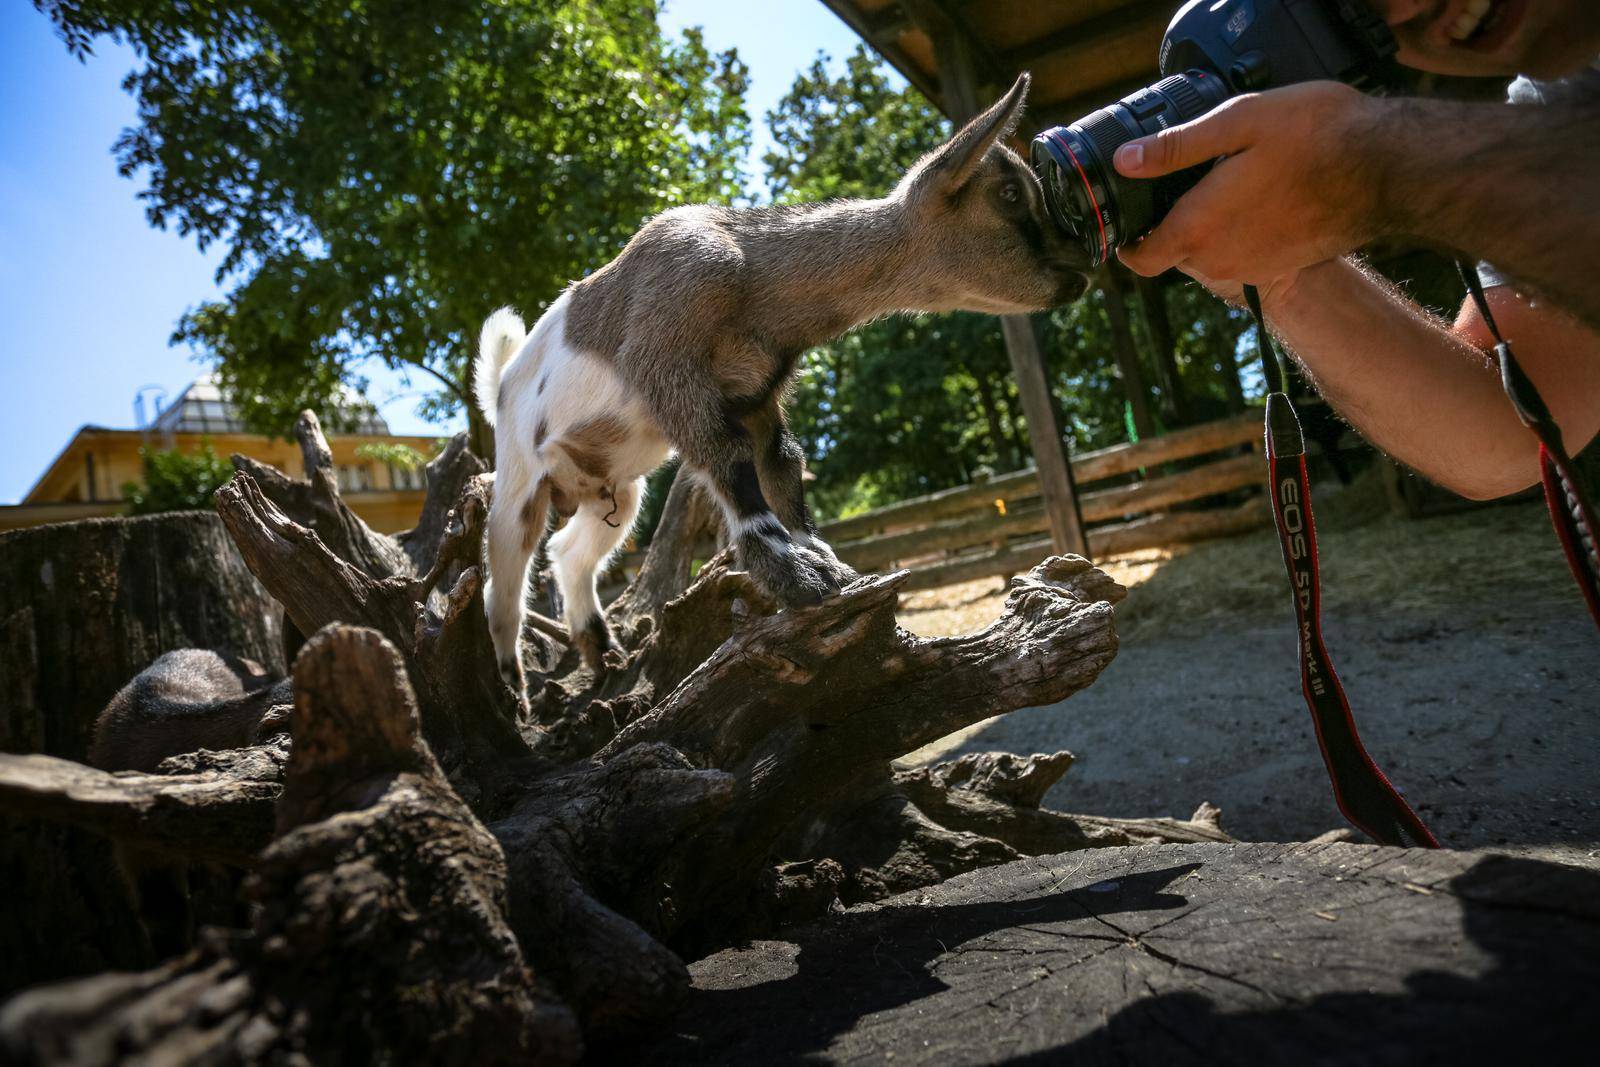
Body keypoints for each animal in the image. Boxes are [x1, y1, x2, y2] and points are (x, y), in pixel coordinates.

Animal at [467, 75, 1081, 681]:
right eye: (1010, 195)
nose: (1080, 268)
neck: (751, 274)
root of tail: (501, 386)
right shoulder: (668, 362)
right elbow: (729, 459)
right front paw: (793, 575)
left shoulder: (756, 391)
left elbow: (783, 463)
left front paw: (825, 562)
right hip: (518, 485)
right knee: (504, 585)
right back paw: (512, 682)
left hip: (615, 488)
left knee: (569, 552)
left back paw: (600, 649)